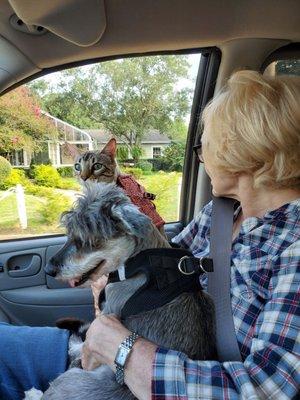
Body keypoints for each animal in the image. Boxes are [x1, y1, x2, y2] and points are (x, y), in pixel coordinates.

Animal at [25, 183, 216, 398]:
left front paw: (75, 348)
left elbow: (85, 342)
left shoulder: (107, 313)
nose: (49, 270)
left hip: (69, 380)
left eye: (87, 241)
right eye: (69, 234)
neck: (139, 261)